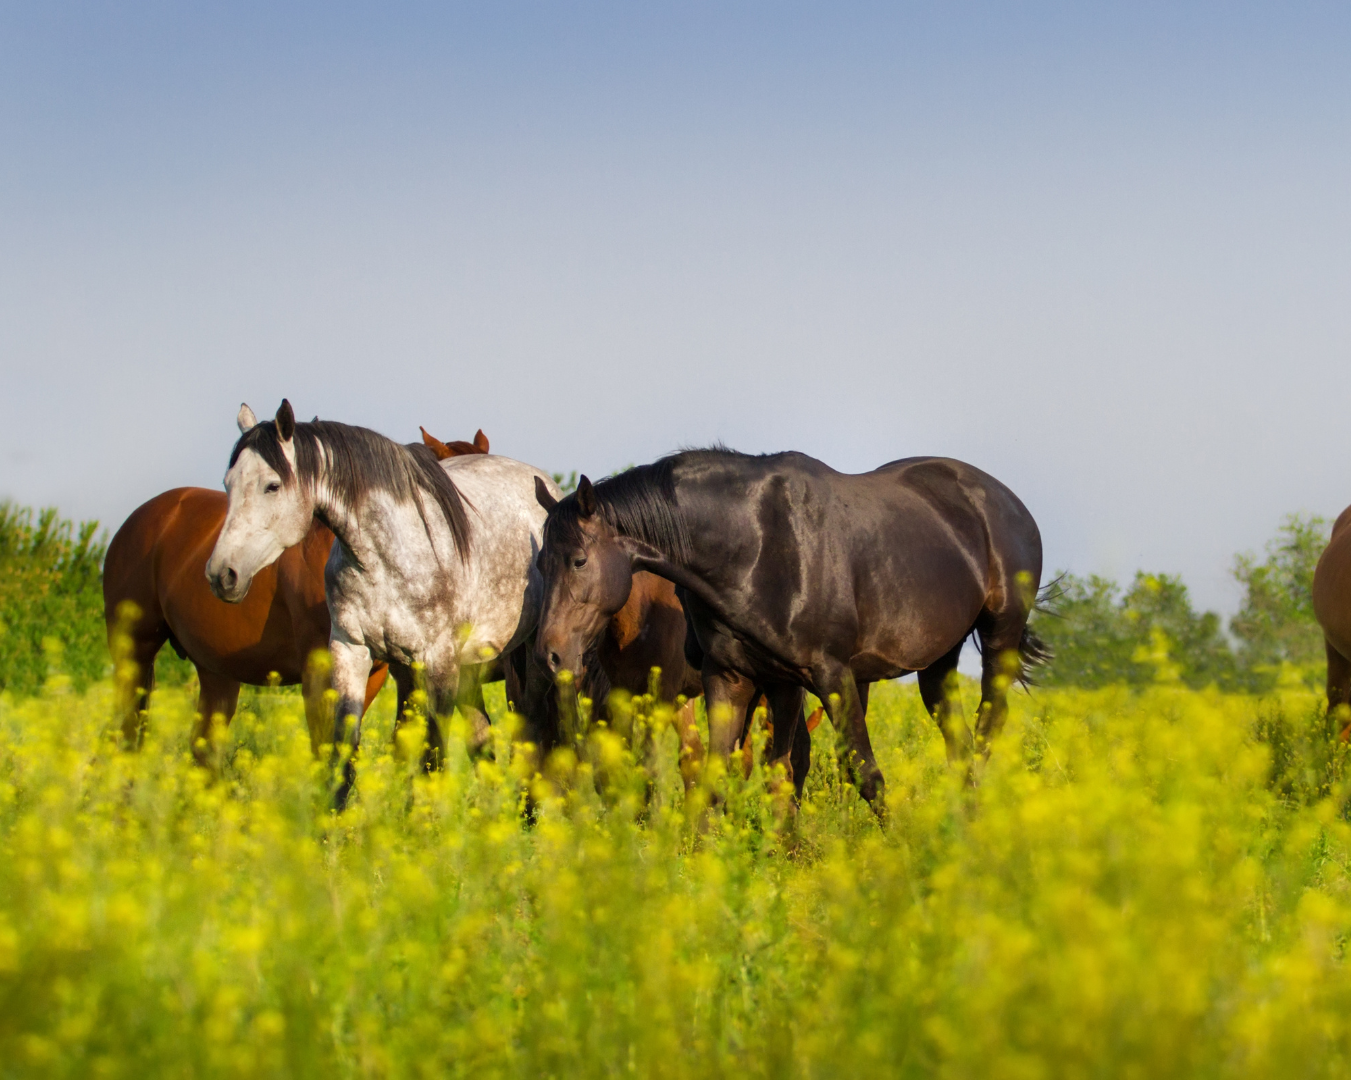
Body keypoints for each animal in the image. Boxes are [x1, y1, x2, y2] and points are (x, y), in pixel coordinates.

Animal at [103, 424, 489, 762]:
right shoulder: (320, 672)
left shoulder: (377, 674)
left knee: (204, 749)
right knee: (127, 735)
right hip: (135, 653)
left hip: (216, 672)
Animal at [206, 401, 560, 807]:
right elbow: (345, 753)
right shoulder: (352, 652)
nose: (222, 574)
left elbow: (432, 757)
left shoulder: (439, 664)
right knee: (481, 741)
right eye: (228, 484)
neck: (386, 555)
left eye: (272, 485)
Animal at [532, 449, 1047, 813]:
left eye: (579, 560)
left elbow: (861, 772)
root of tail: (1004, 501)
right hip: (938, 660)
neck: (755, 546)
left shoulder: (828, 676)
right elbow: (732, 775)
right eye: (540, 562)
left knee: (987, 728)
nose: (551, 655)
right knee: (959, 743)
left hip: (999, 638)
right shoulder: (740, 679)